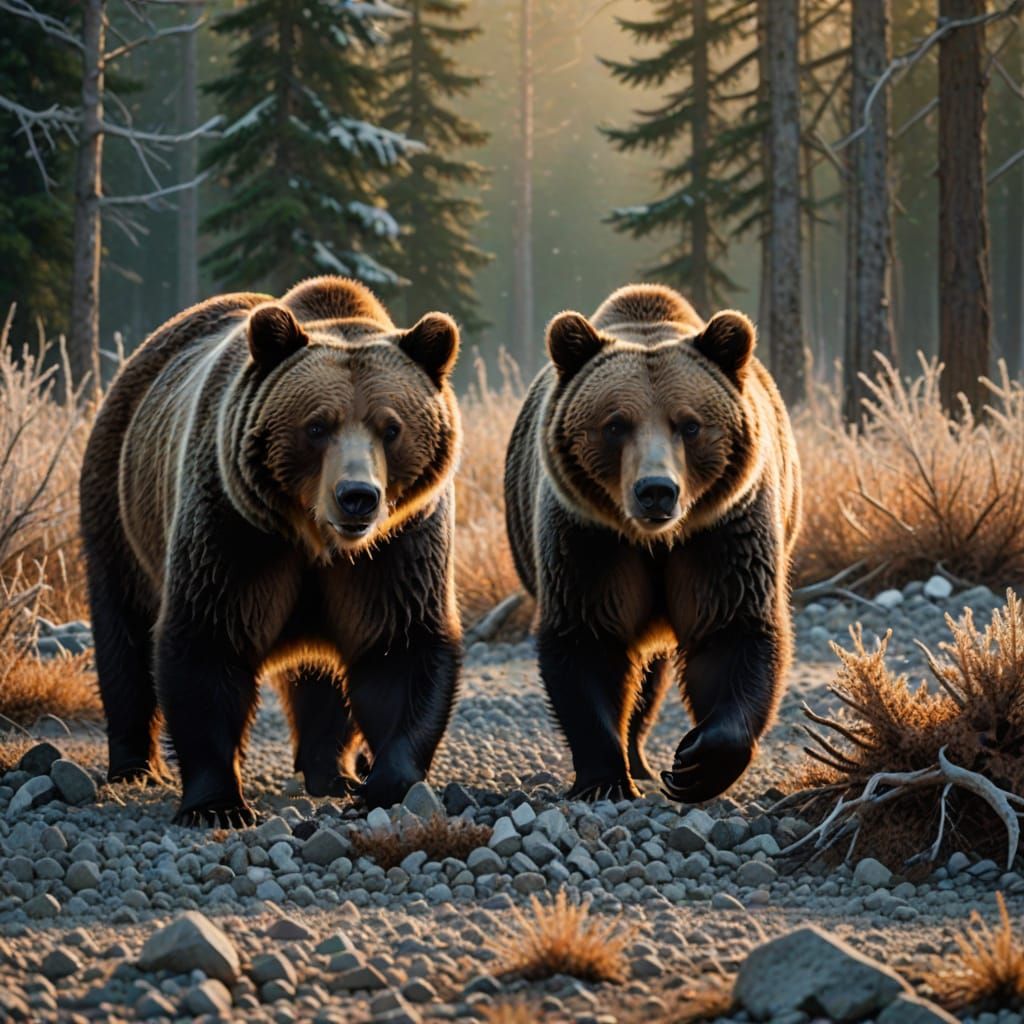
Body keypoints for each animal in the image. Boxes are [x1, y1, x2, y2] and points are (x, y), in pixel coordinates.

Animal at [79, 276, 463, 825]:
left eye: (391, 427)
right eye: (317, 426)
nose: (357, 496)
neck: (318, 542)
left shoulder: (397, 545)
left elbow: (399, 646)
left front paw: (387, 784)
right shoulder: (235, 528)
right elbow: (207, 639)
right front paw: (218, 805)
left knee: (322, 678)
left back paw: (332, 771)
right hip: (119, 501)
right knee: (124, 632)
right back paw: (135, 767)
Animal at [504, 283, 800, 803]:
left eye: (690, 424)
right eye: (615, 424)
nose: (656, 490)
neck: (655, 542)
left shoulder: (721, 533)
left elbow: (733, 630)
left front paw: (696, 762)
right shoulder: (589, 538)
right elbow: (588, 638)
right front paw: (606, 779)